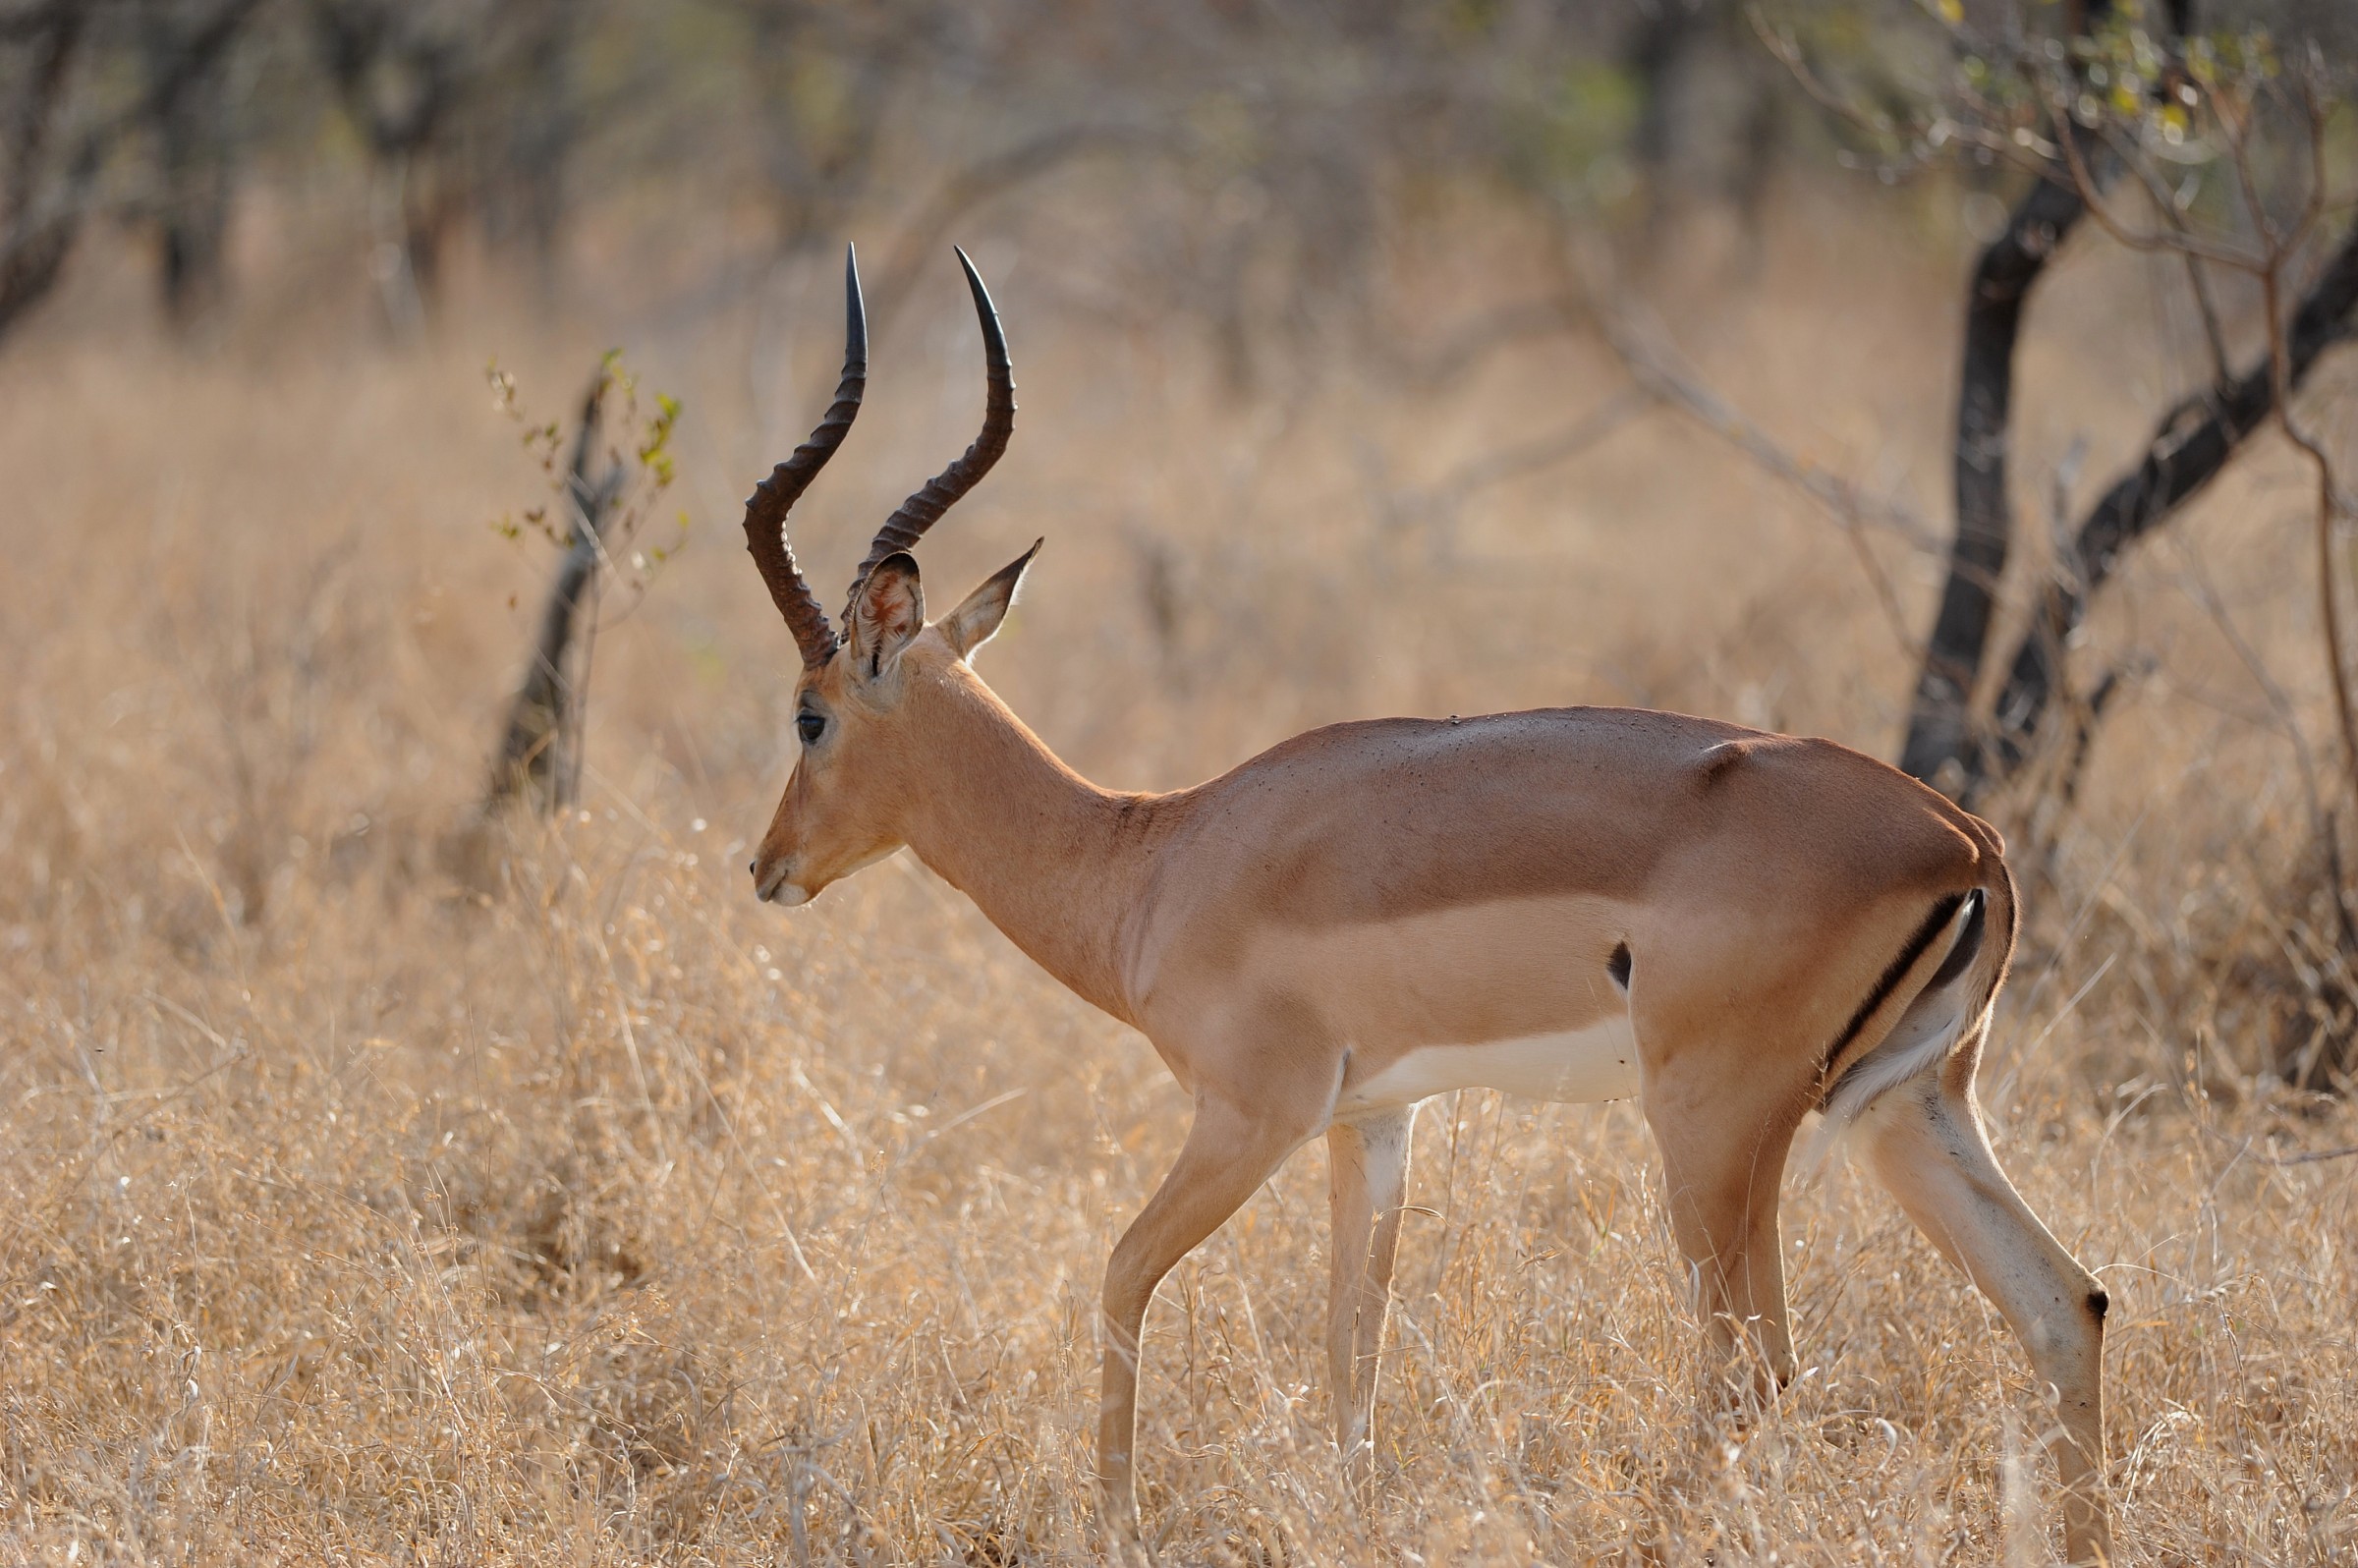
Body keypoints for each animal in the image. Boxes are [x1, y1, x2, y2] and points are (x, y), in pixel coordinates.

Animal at [740, 247, 2114, 1563]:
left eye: (809, 714)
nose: (767, 867)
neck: (1158, 857)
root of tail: (1969, 840)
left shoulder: (1254, 1114)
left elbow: (1123, 1277)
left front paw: (1117, 1527)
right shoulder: (1376, 1120)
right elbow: (1354, 1351)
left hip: (1716, 1127)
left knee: (1754, 1371)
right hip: (1906, 1107)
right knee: (2066, 1304)